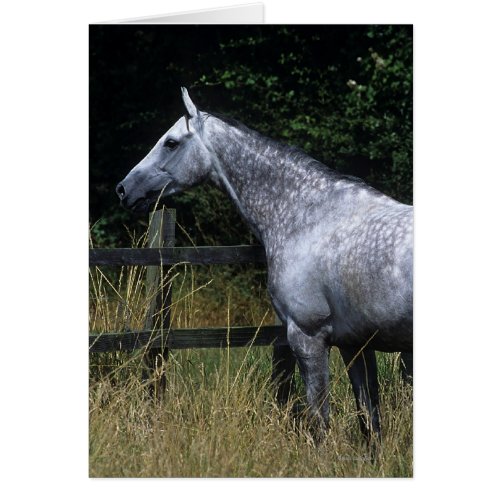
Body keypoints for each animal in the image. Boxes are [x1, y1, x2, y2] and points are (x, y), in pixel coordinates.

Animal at [117, 87, 414, 442]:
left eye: (171, 142)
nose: (123, 189)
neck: (309, 220)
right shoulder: (355, 345)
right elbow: (370, 423)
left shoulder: (308, 338)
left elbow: (321, 423)